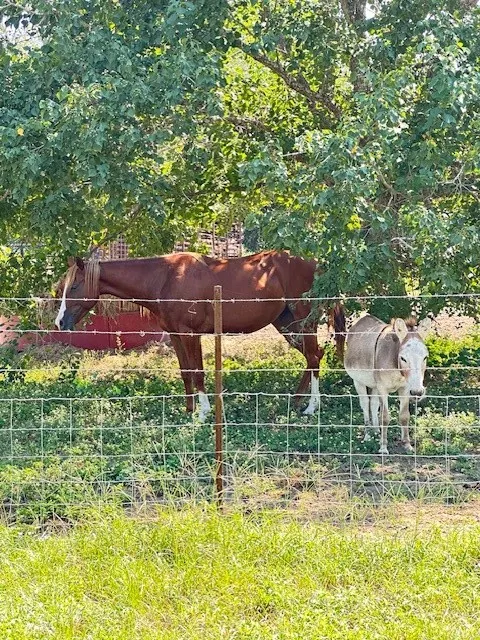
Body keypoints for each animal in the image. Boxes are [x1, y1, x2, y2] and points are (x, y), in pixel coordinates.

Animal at [54, 250, 346, 420]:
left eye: (75, 285)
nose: (60, 322)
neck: (165, 278)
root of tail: (315, 263)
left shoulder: (190, 334)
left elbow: (198, 372)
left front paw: (204, 412)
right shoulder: (175, 334)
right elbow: (185, 372)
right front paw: (189, 410)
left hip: (304, 320)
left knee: (314, 357)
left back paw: (311, 407)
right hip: (285, 323)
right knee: (313, 356)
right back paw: (297, 401)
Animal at [344, 314, 430, 454]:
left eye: (425, 357)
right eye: (403, 358)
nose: (417, 392)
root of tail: (364, 317)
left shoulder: (405, 388)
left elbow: (404, 416)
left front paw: (407, 445)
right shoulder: (383, 389)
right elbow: (384, 417)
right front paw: (383, 447)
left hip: (374, 385)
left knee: (373, 404)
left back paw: (376, 431)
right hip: (359, 382)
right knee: (365, 404)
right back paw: (368, 435)